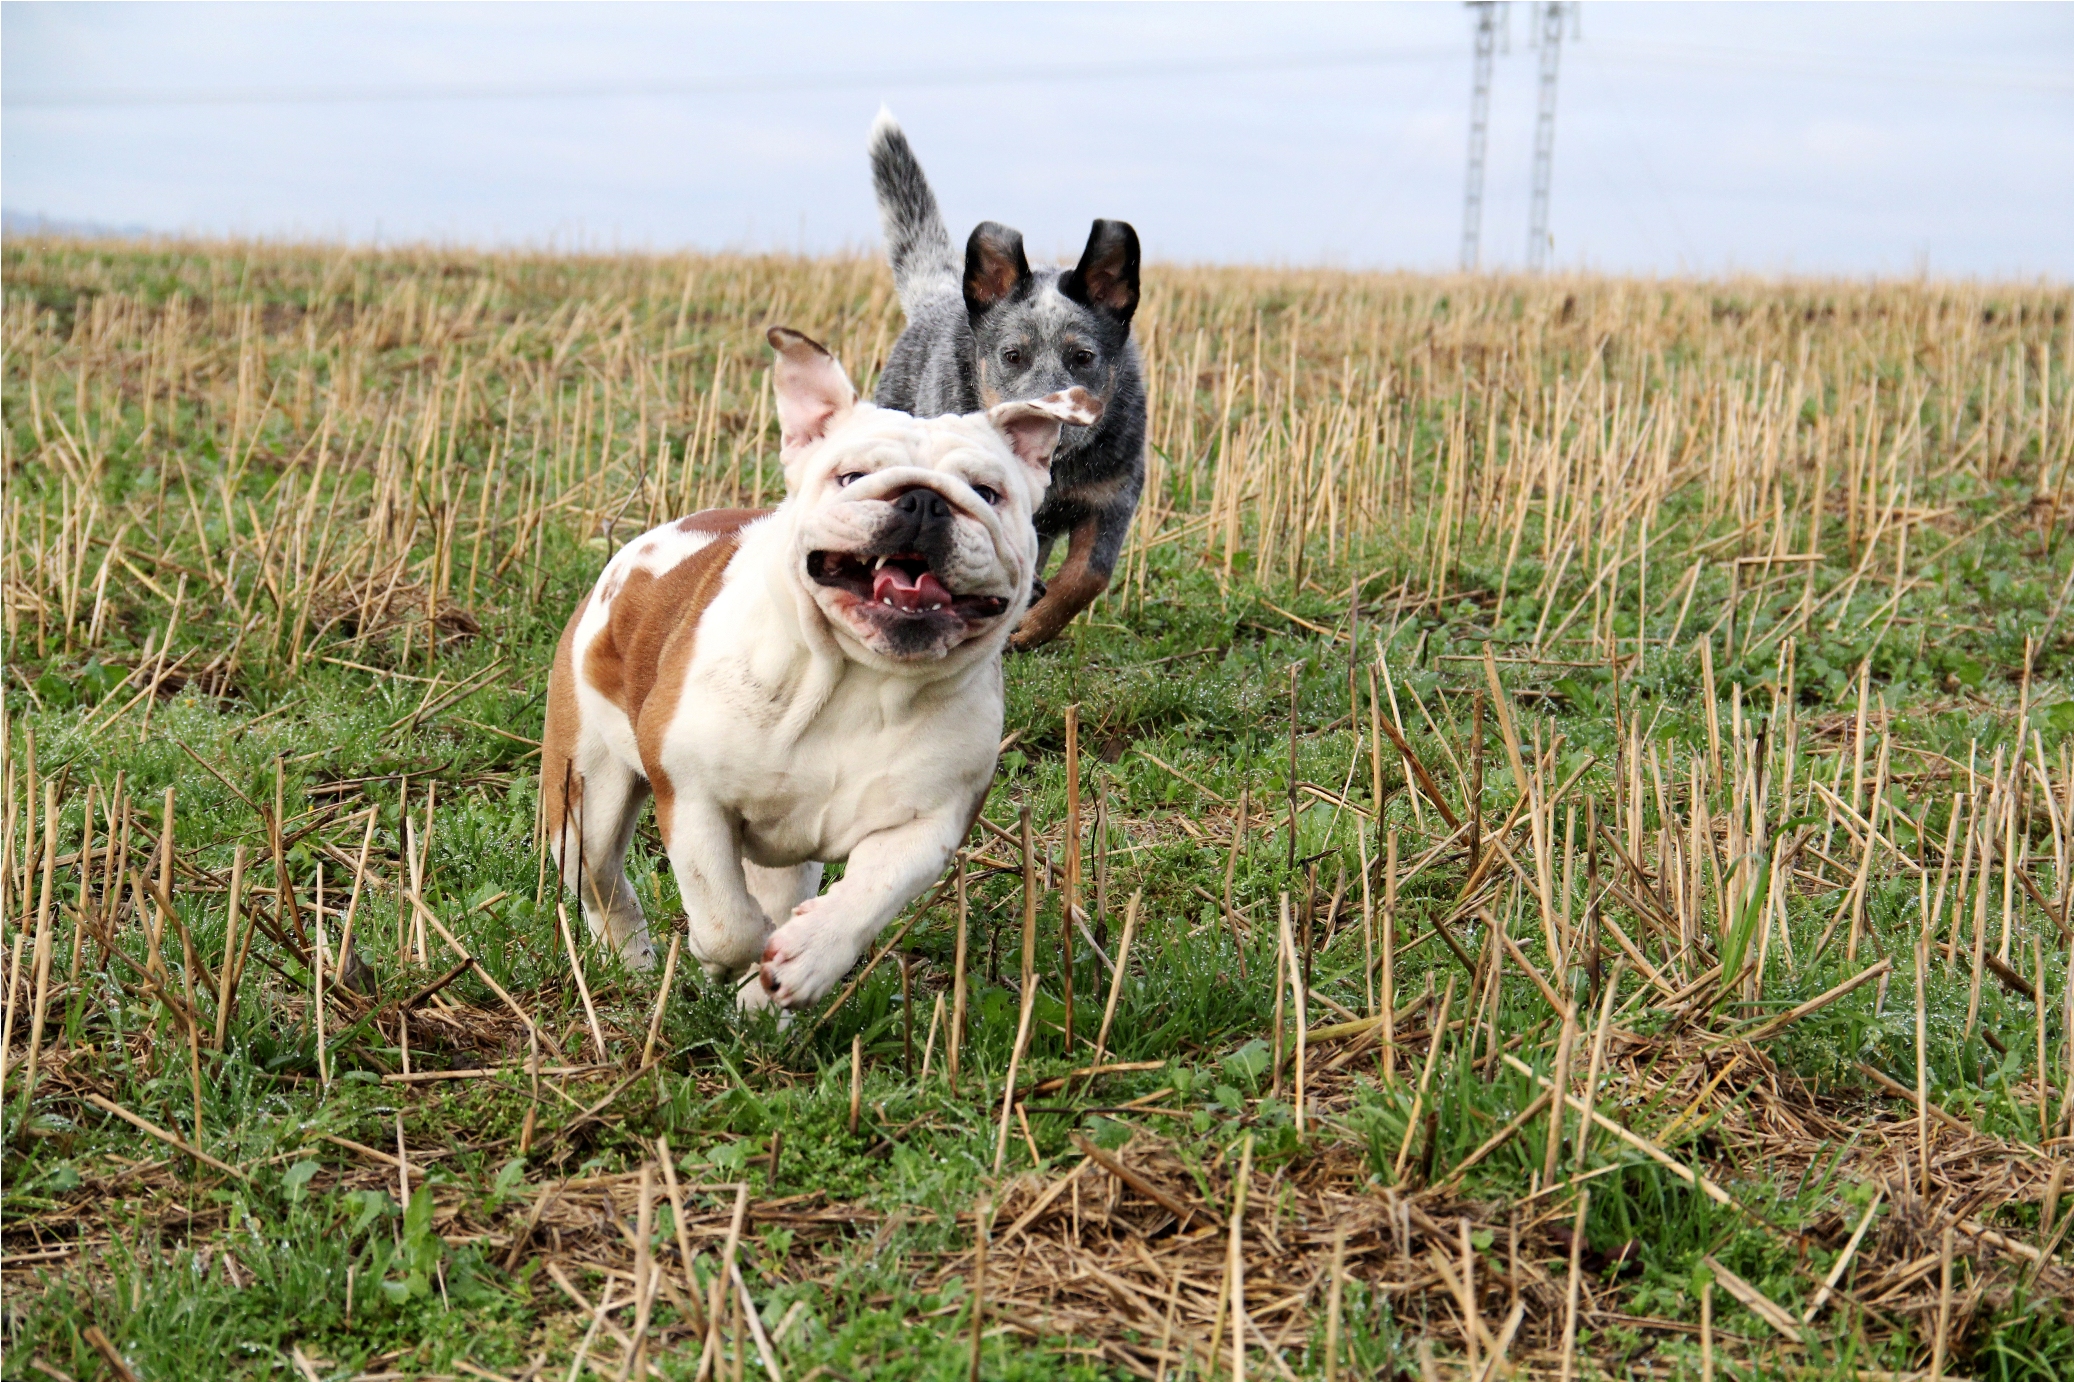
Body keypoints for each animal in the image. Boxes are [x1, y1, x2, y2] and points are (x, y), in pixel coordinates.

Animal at [862, 110, 1153, 647]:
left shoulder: (1114, 498)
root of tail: (939, 297)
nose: (1046, 412)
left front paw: (1033, 628)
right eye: (1012, 355)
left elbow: (1088, 576)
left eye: (1083, 356)